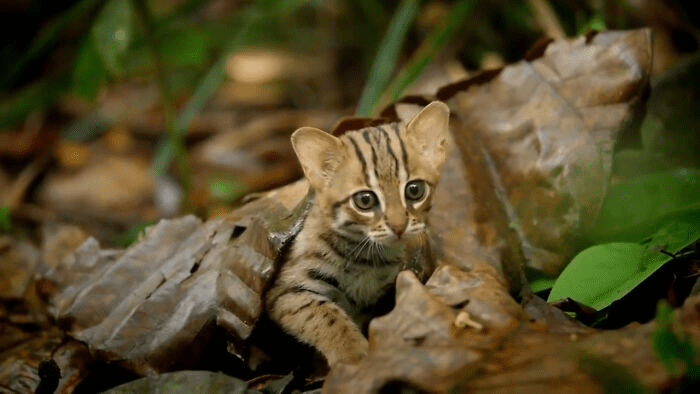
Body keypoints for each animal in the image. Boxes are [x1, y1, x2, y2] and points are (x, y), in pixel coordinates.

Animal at [262, 101, 448, 366]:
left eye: (415, 190)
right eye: (365, 200)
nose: (399, 227)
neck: (367, 256)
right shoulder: (285, 292)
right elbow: (325, 316)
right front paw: (354, 356)